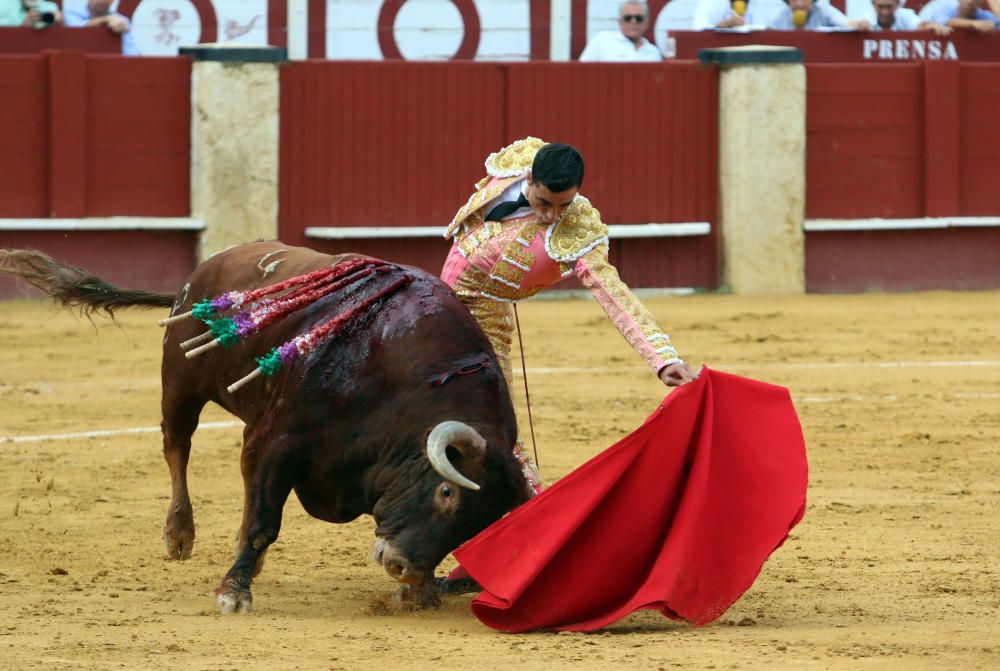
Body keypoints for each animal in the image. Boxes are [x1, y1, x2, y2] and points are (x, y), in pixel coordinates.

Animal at [0, 243, 536, 616]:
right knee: (177, 445)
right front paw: (234, 592)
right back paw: (179, 534)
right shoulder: (278, 442)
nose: (402, 566)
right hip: (181, 383)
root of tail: (204, 270)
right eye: (447, 492)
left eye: (481, 522)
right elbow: (264, 521)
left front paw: (421, 591)